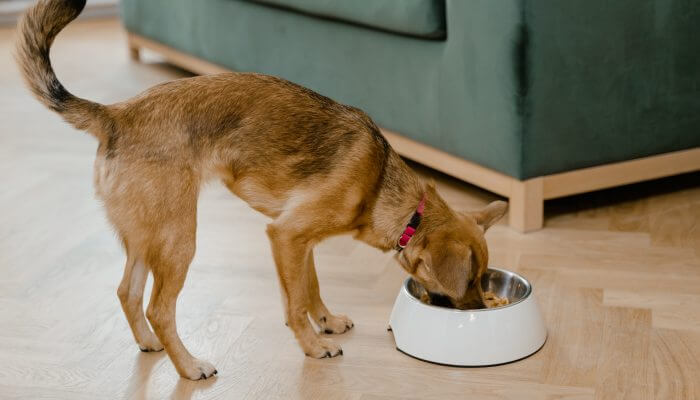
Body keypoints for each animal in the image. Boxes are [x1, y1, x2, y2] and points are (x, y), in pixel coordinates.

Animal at [16, 0, 506, 380]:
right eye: (471, 281)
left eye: (483, 279)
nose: (478, 308)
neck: (388, 190)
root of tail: (116, 114)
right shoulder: (286, 235)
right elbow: (294, 303)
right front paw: (313, 346)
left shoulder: (299, 241)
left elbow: (310, 287)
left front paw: (326, 322)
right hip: (179, 239)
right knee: (160, 308)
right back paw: (190, 367)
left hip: (145, 236)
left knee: (127, 293)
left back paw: (149, 343)